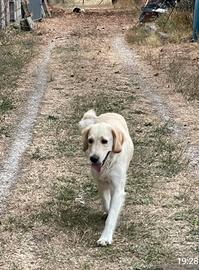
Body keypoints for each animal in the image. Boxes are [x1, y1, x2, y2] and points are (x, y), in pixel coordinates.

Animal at [79, 109, 134, 247]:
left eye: (104, 141)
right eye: (90, 140)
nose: (94, 158)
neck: (108, 164)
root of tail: (111, 112)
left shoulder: (118, 189)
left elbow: (112, 215)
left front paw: (105, 237)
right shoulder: (100, 182)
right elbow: (105, 202)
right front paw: (107, 211)